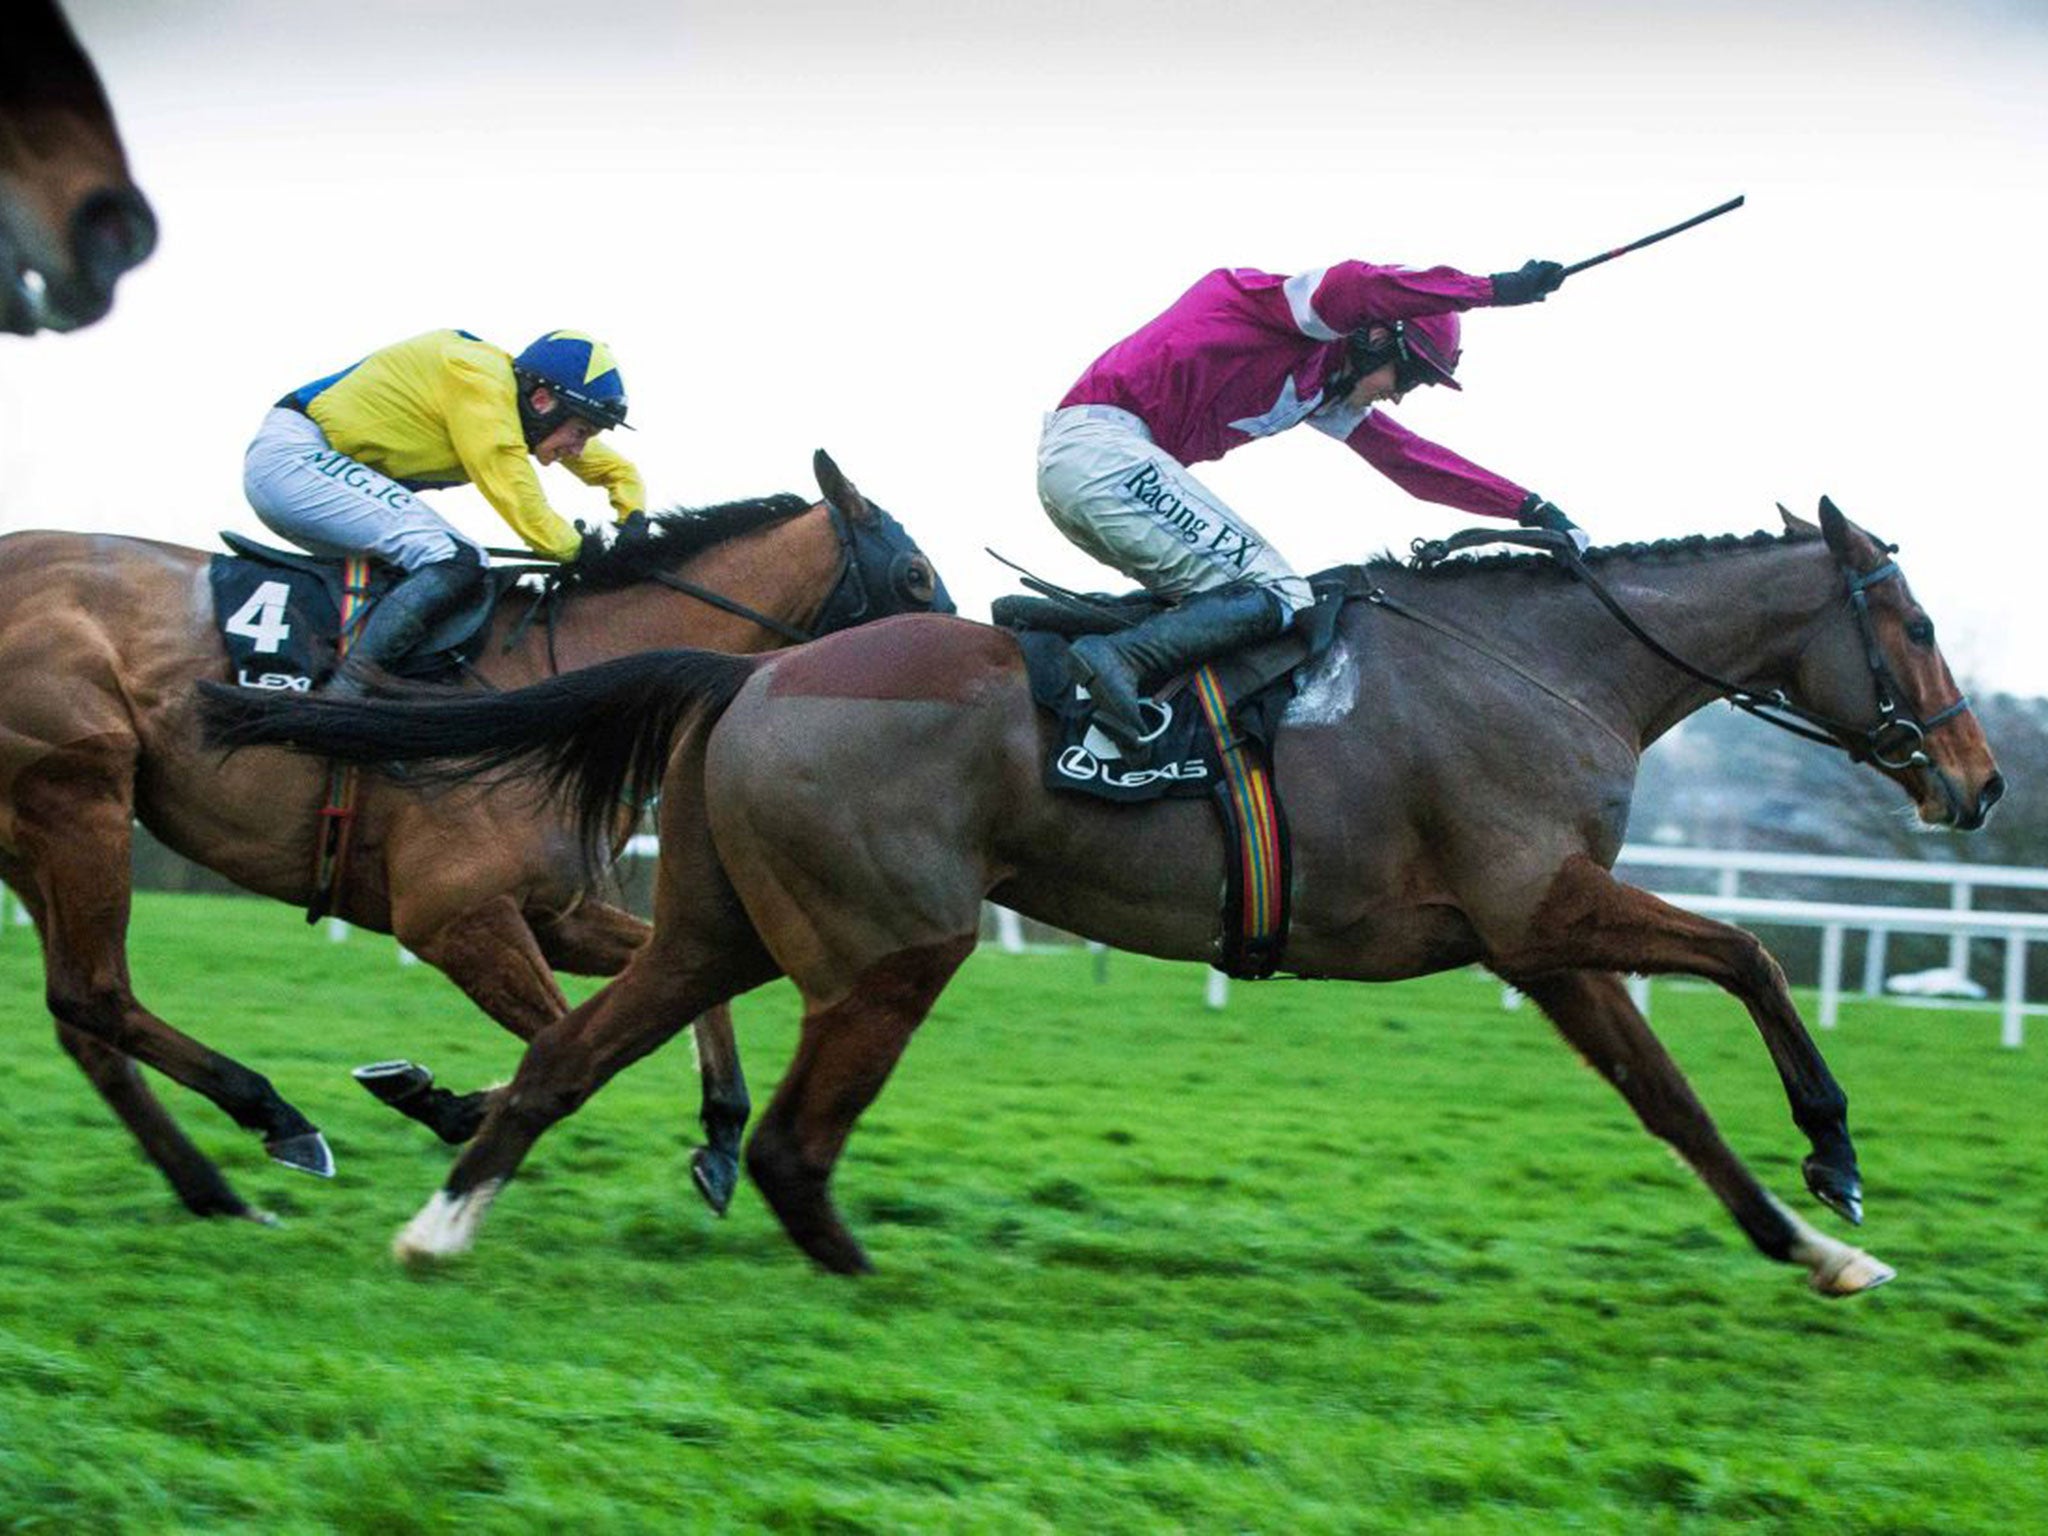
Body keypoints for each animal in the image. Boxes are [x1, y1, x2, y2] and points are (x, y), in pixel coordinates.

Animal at [0, 448, 942, 1228]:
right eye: (915, 574)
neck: (563, 677)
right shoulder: (456, 917)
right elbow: (566, 1051)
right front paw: (429, 1095)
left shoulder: (556, 911)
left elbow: (673, 987)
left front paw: (718, 1134)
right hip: (80, 795)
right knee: (93, 995)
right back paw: (276, 1117)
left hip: (36, 839)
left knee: (86, 1027)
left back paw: (216, 1192)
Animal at [203, 499, 1998, 1294]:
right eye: (1910, 622)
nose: (1977, 783)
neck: (1545, 663)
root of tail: (749, 674)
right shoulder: (1539, 911)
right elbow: (1751, 959)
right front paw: (1835, 1159)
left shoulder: (1539, 939)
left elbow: (1669, 1097)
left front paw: (1806, 1241)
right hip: (894, 943)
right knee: (785, 1139)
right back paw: (852, 1268)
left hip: (718, 925)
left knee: (581, 1055)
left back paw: (443, 1218)